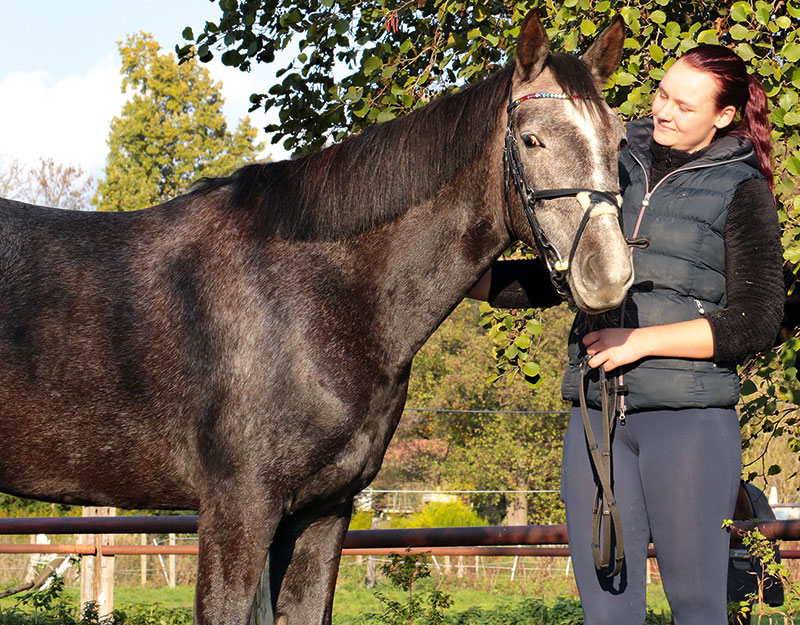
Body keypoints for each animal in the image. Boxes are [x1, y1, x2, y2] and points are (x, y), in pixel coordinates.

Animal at [0, 11, 632, 624]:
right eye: (531, 140)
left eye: (619, 140)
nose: (608, 275)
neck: (305, 299)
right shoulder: (238, 511)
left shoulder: (325, 511)